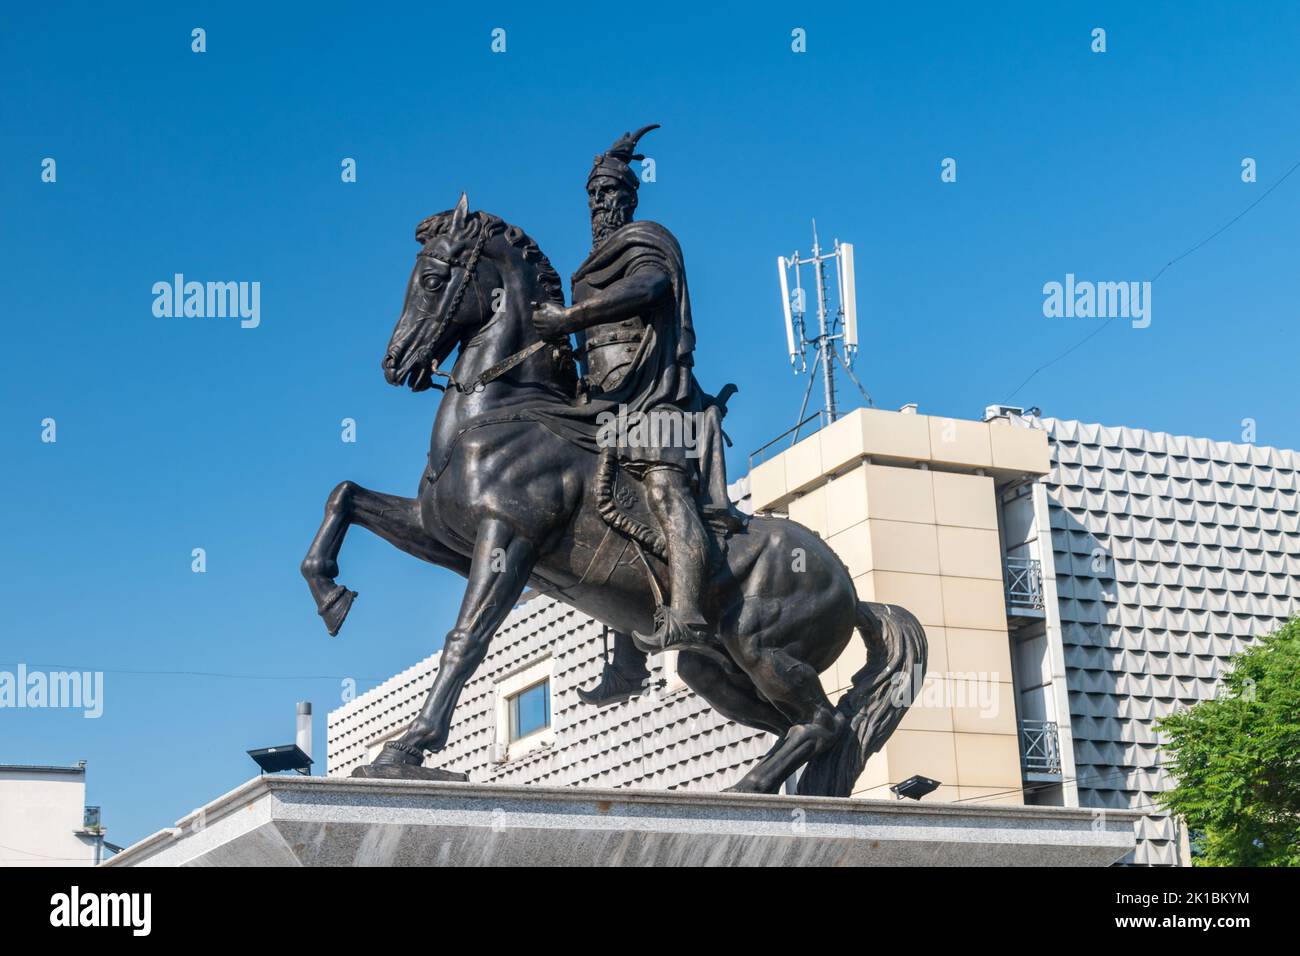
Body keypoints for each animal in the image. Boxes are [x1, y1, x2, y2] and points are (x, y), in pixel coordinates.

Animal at [301, 192, 925, 790]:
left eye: (432, 280)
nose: (394, 361)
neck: (504, 412)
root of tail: (854, 592)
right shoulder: (441, 535)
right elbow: (344, 495)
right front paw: (330, 595)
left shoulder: (508, 540)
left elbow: (466, 639)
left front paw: (407, 748)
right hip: (718, 668)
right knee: (796, 726)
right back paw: (758, 788)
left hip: (763, 652)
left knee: (825, 722)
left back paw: (747, 789)